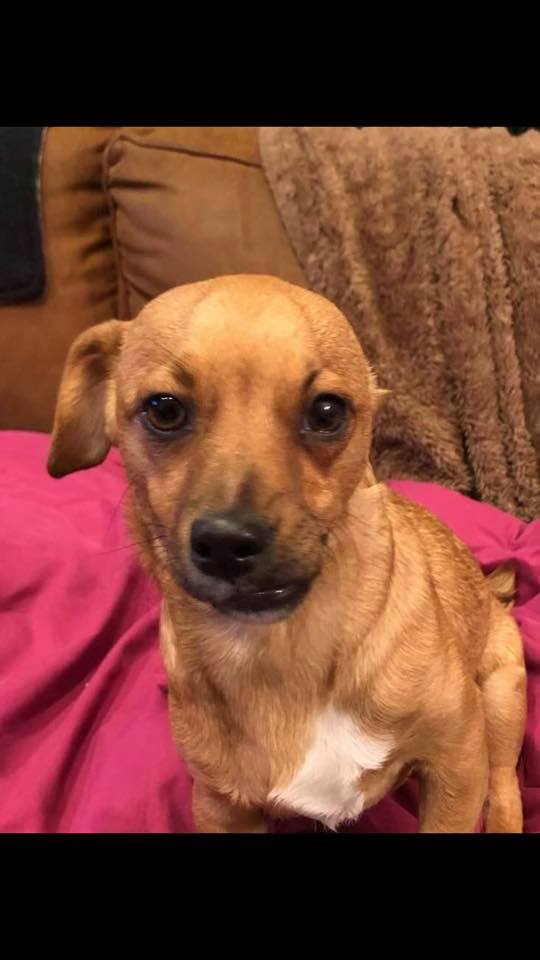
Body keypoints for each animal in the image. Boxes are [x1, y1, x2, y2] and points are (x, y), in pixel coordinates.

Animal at [48, 276, 524, 832]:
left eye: (327, 411)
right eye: (163, 409)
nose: (228, 542)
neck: (282, 649)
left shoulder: (456, 765)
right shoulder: (221, 806)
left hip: (502, 697)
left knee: (506, 784)